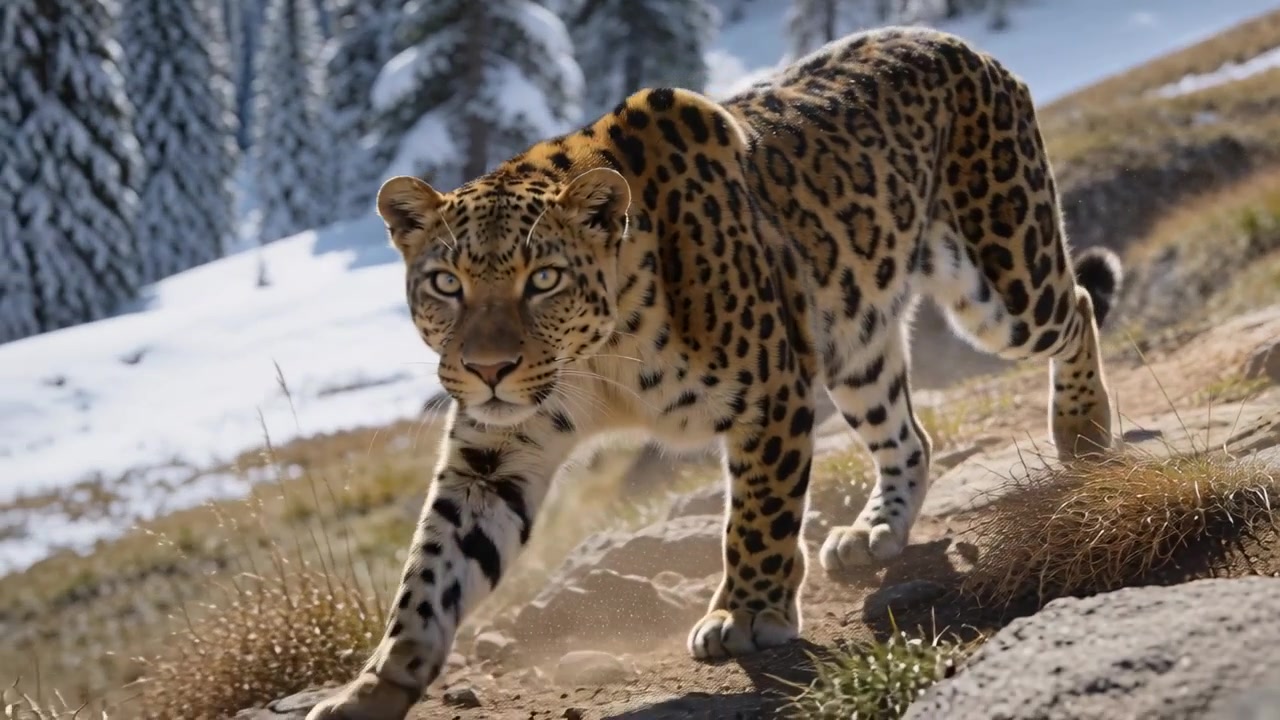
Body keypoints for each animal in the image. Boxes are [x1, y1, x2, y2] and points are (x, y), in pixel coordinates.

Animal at [307, 25, 1123, 719]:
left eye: (542, 279)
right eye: (446, 284)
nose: (487, 369)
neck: (599, 357)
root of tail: (954, 40)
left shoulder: (771, 390)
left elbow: (757, 517)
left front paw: (747, 614)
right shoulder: (493, 453)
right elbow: (432, 572)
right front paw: (374, 688)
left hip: (1005, 275)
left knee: (1077, 305)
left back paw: (1082, 432)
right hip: (857, 344)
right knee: (908, 436)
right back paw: (875, 532)